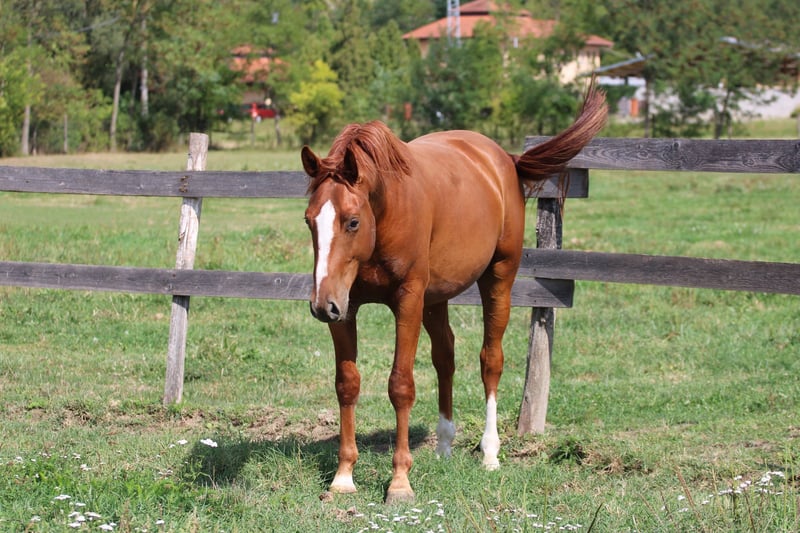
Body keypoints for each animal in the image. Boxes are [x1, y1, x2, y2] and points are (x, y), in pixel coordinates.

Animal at [301, 86, 607, 504]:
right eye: (309, 220)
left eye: (352, 222)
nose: (320, 305)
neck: (388, 212)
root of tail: (504, 160)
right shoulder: (346, 308)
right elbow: (347, 383)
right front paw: (344, 476)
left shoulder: (408, 301)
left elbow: (401, 385)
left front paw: (400, 482)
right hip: (435, 298)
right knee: (445, 357)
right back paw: (445, 445)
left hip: (497, 279)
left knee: (490, 360)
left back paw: (490, 453)